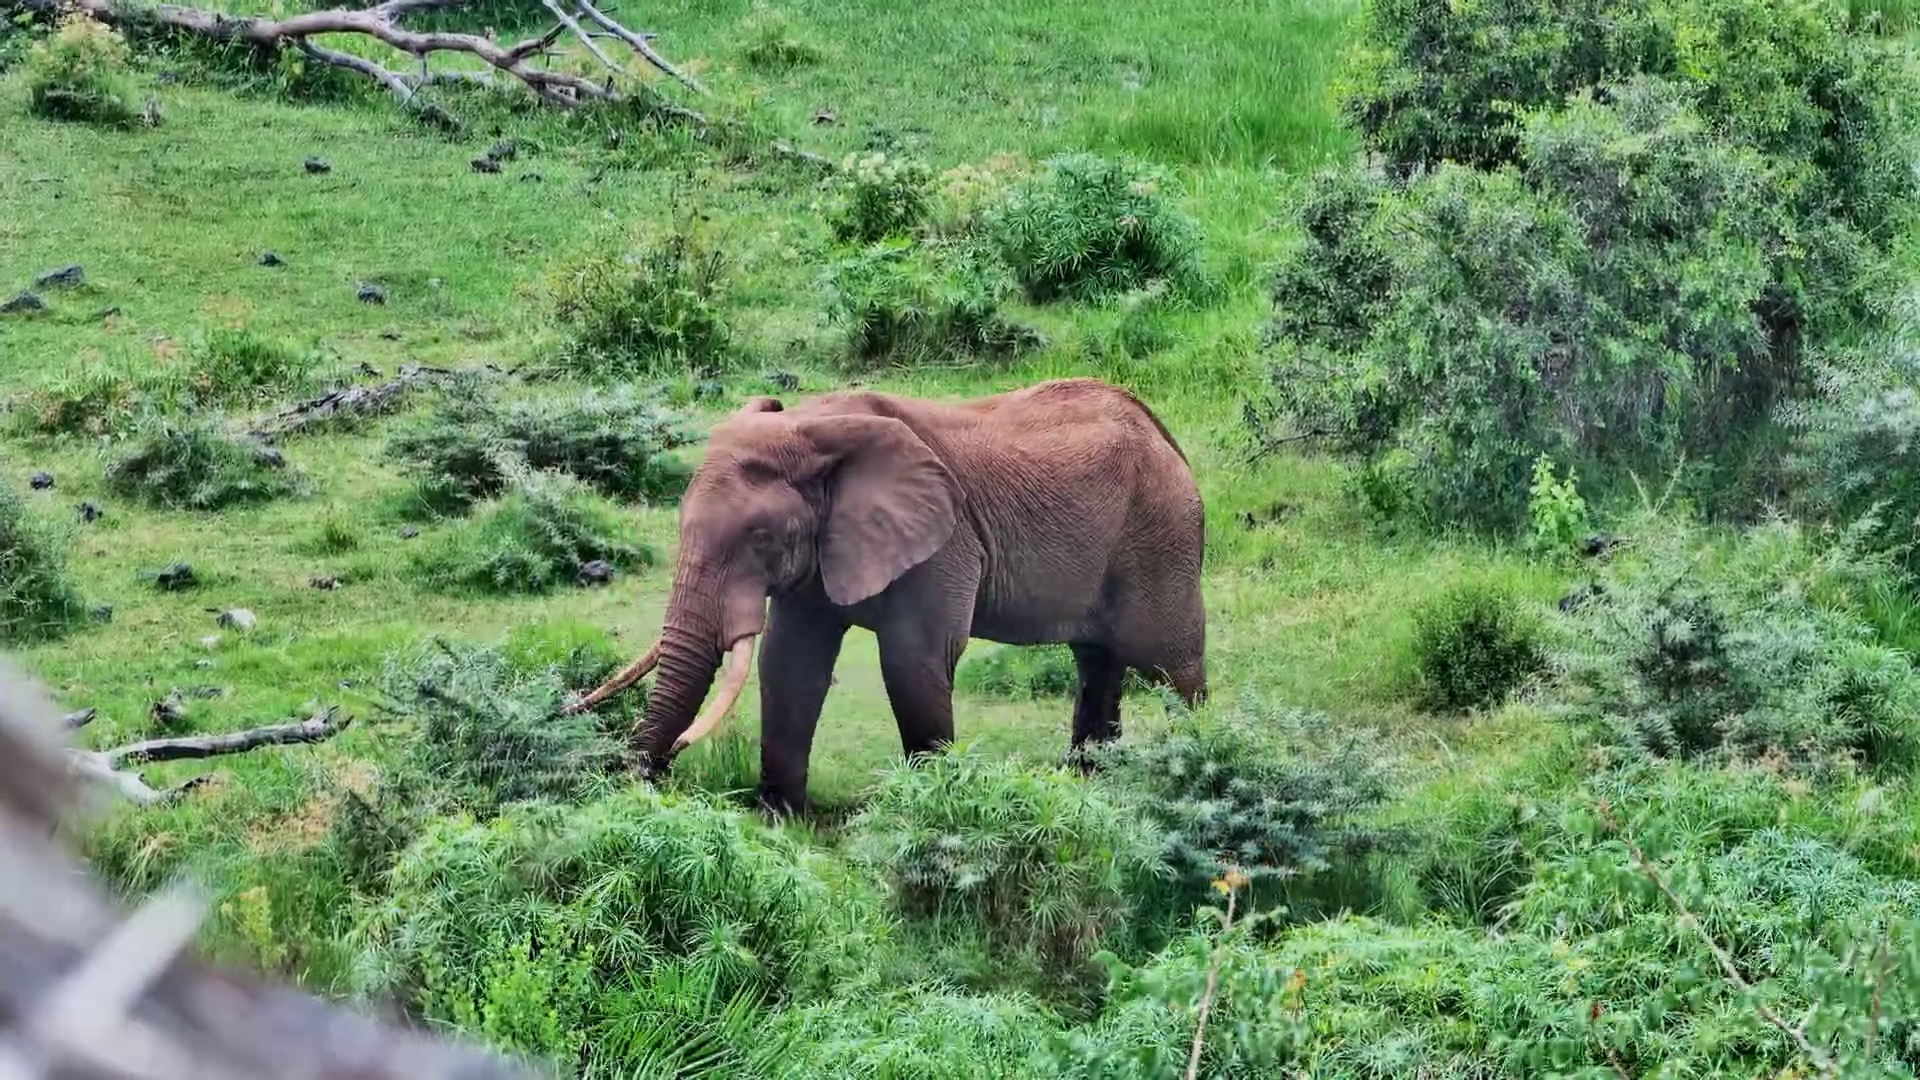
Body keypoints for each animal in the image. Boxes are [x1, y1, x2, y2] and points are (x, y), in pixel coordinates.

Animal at [564, 376, 1207, 814]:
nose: (652, 777)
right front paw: (779, 818)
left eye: (761, 537)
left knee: (1173, 669)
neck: (813, 430)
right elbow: (790, 663)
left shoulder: (943, 543)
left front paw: (929, 807)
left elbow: (911, 661)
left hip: (1162, 535)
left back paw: (1189, 771)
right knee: (1098, 662)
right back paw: (1092, 784)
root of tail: (1165, 436)